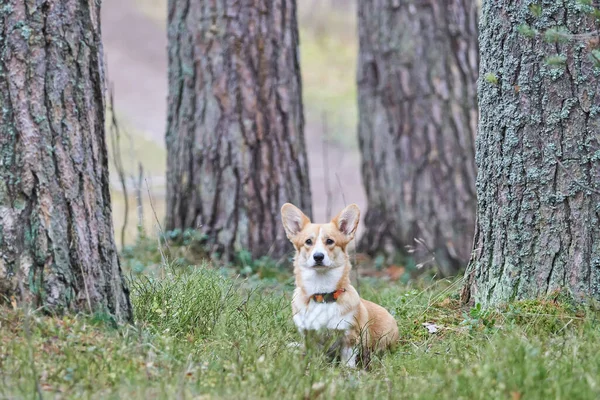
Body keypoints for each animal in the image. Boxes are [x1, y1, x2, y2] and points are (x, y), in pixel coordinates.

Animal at [282, 205, 398, 368]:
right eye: (308, 241)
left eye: (330, 241)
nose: (318, 256)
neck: (322, 293)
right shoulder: (309, 335)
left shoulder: (349, 335)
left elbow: (347, 359)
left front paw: (347, 370)